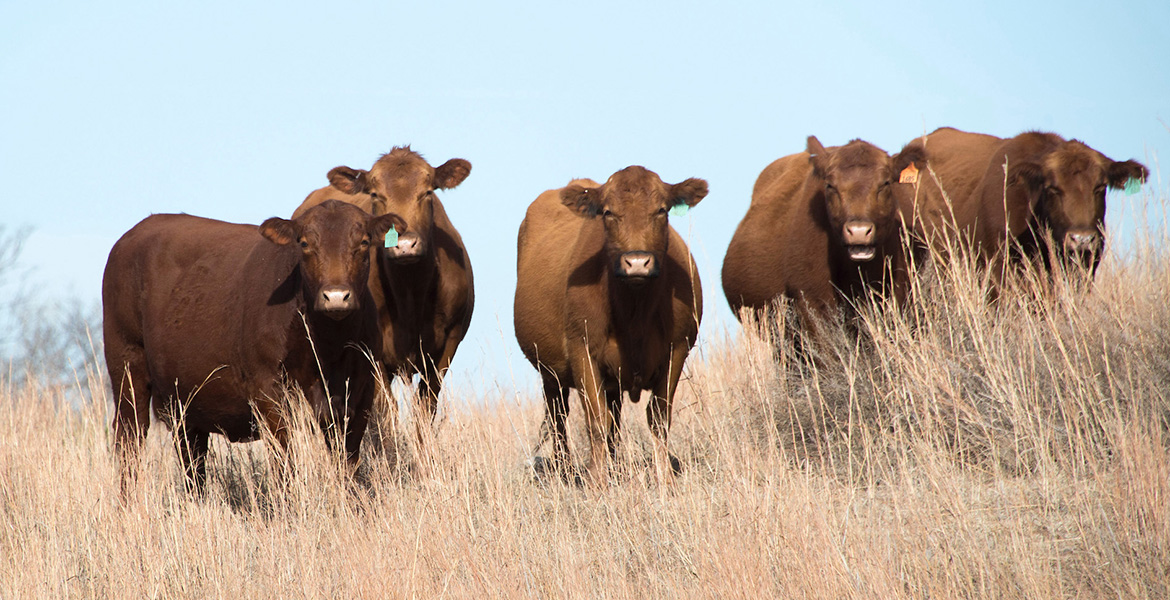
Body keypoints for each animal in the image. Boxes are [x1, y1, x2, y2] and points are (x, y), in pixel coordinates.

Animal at [105, 201, 407, 491]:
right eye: (304, 243)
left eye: (364, 242)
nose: (335, 297)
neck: (327, 349)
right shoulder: (268, 392)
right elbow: (285, 466)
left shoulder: (361, 392)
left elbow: (348, 463)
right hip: (127, 368)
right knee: (130, 441)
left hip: (184, 399)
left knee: (192, 460)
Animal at [292, 146, 475, 453]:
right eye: (376, 194)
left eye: (428, 191)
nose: (404, 245)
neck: (411, 296)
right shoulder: (373, 354)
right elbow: (386, 411)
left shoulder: (448, 345)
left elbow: (425, 409)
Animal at [517, 163, 706, 486]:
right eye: (607, 212)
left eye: (662, 209)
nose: (637, 262)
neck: (635, 315)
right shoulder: (581, 349)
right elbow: (596, 420)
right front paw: (597, 483)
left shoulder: (677, 350)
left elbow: (658, 418)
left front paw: (665, 479)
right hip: (549, 370)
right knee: (559, 415)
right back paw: (565, 468)